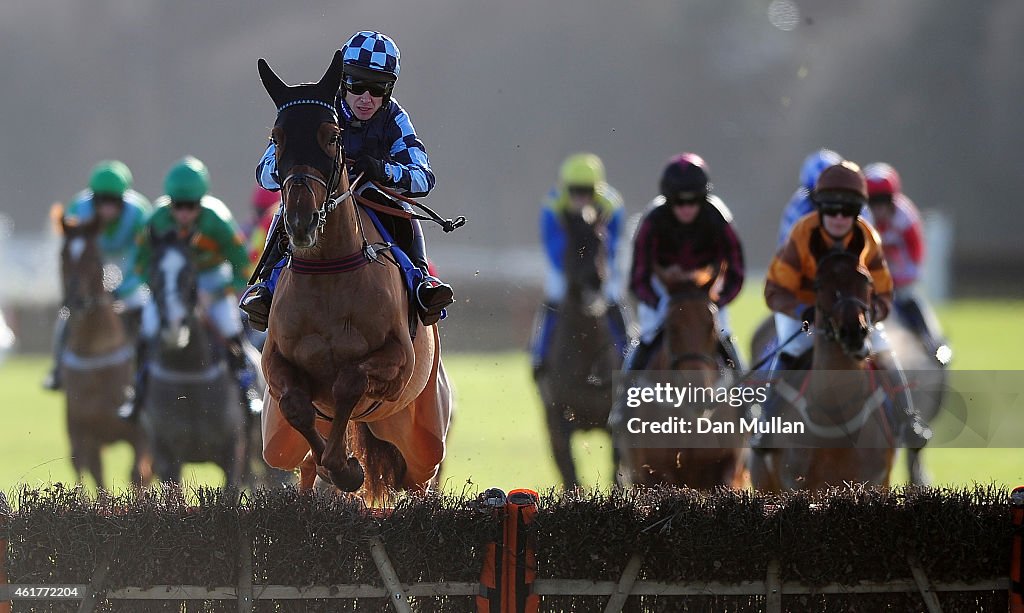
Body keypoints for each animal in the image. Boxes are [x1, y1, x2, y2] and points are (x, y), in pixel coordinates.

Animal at [56, 215, 149, 489]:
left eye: (94, 256)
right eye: (62, 255)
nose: (76, 300)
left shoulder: (141, 434)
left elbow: (138, 475)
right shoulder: (82, 433)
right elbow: (94, 478)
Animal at [142, 232, 247, 487]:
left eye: (189, 271)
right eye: (152, 272)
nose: (173, 326)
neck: (188, 371)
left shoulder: (234, 451)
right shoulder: (166, 456)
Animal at [536, 208, 622, 487]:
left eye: (602, 241)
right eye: (573, 243)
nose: (594, 280)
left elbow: (616, 472)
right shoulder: (558, 419)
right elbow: (570, 473)